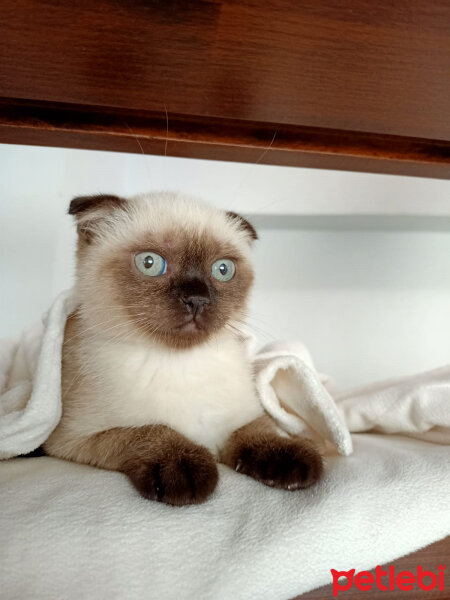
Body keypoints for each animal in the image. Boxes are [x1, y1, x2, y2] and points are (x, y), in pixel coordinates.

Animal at [43, 191, 324, 502]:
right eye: (150, 263)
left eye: (223, 269)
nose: (197, 299)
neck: (181, 364)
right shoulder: (72, 438)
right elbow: (149, 430)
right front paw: (185, 471)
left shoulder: (240, 419)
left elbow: (263, 429)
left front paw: (290, 461)